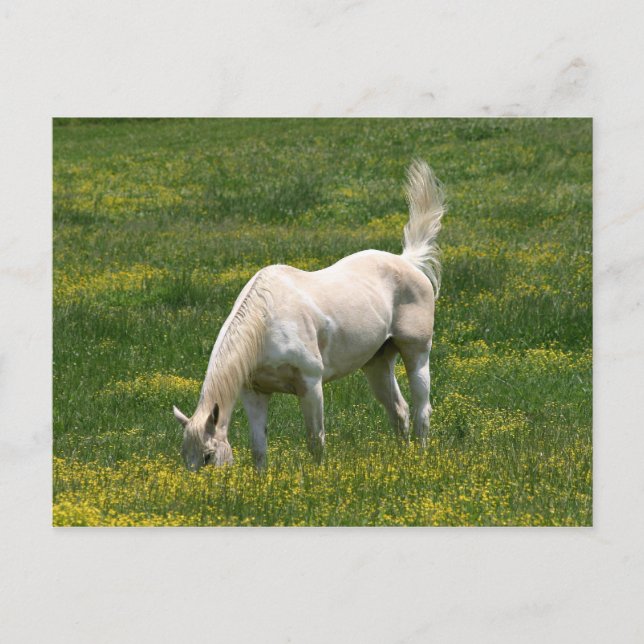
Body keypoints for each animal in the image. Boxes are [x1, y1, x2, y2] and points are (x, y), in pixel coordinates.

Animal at [173, 160, 445, 471]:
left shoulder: (311, 384)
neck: (266, 324)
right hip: (377, 363)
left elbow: (316, 440)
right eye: (185, 455)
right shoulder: (254, 392)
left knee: (422, 410)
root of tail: (407, 261)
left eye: (207, 455)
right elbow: (259, 449)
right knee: (400, 412)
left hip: (417, 353)